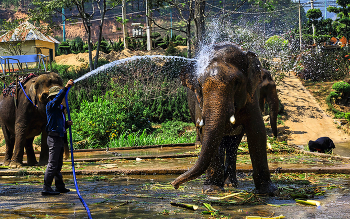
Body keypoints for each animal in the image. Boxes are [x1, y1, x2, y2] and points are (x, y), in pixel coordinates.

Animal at [174, 42, 278, 195]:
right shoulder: (200, 102)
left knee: (232, 145)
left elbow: (257, 131)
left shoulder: (251, 97)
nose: (174, 185)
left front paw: (268, 191)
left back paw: (230, 183)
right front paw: (212, 190)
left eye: (236, 82)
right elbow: (207, 132)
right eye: (199, 83)